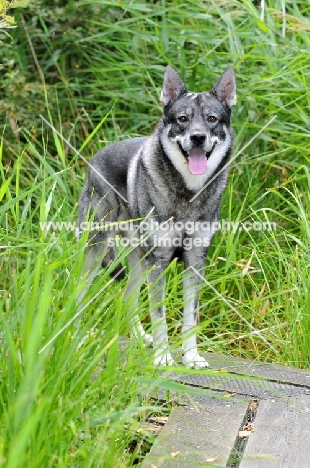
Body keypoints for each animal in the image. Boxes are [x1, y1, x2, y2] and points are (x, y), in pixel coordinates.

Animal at [76, 63, 236, 370]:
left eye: (211, 119)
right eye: (183, 119)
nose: (198, 138)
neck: (188, 192)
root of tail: (95, 158)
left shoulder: (195, 261)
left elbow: (190, 317)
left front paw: (191, 356)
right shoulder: (159, 261)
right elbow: (159, 313)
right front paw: (163, 357)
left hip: (138, 261)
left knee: (128, 298)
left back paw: (141, 339)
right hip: (97, 252)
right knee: (78, 292)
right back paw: (72, 333)